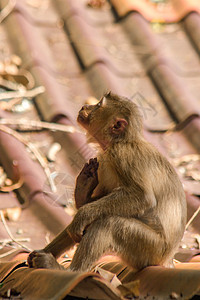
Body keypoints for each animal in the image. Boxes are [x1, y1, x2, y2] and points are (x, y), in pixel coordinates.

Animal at [27, 92, 187, 274]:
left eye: (98, 105)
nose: (84, 107)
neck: (120, 141)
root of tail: (167, 258)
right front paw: (83, 192)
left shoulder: (122, 154)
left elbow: (142, 197)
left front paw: (82, 214)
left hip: (151, 249)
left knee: (108, 223)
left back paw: (70, 271)